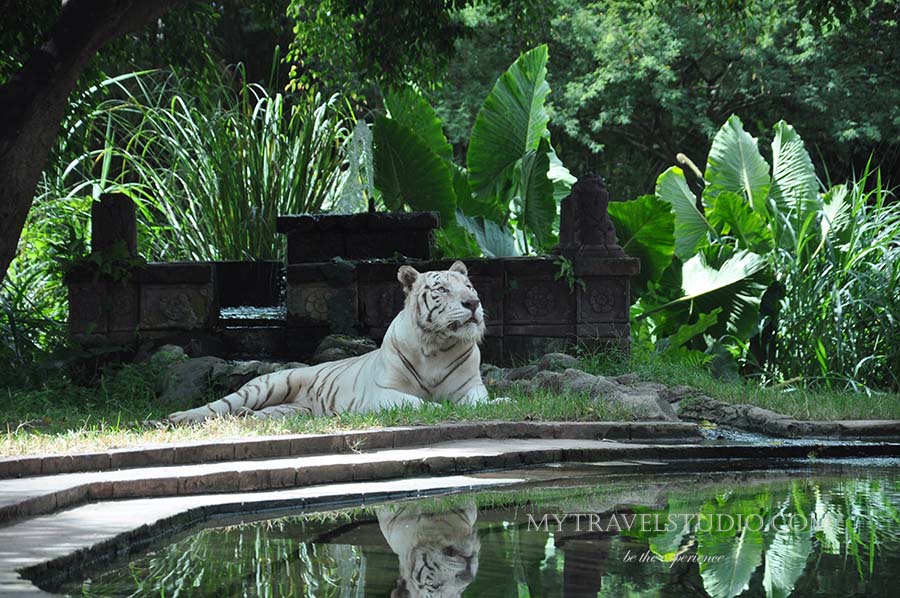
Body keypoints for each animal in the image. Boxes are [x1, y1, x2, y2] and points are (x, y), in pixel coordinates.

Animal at [166, 261, 490, 423]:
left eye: (469, 286)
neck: (437, 346)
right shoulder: (381, 393)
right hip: (265, 386)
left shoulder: (470, 387)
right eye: (442, 289)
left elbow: (481, 402)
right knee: (218, 405)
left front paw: (497, 402)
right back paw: (177, 416)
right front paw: (438, 408)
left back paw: (247, 417)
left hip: (289, 410)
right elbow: (416, 402)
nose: (473, 303)